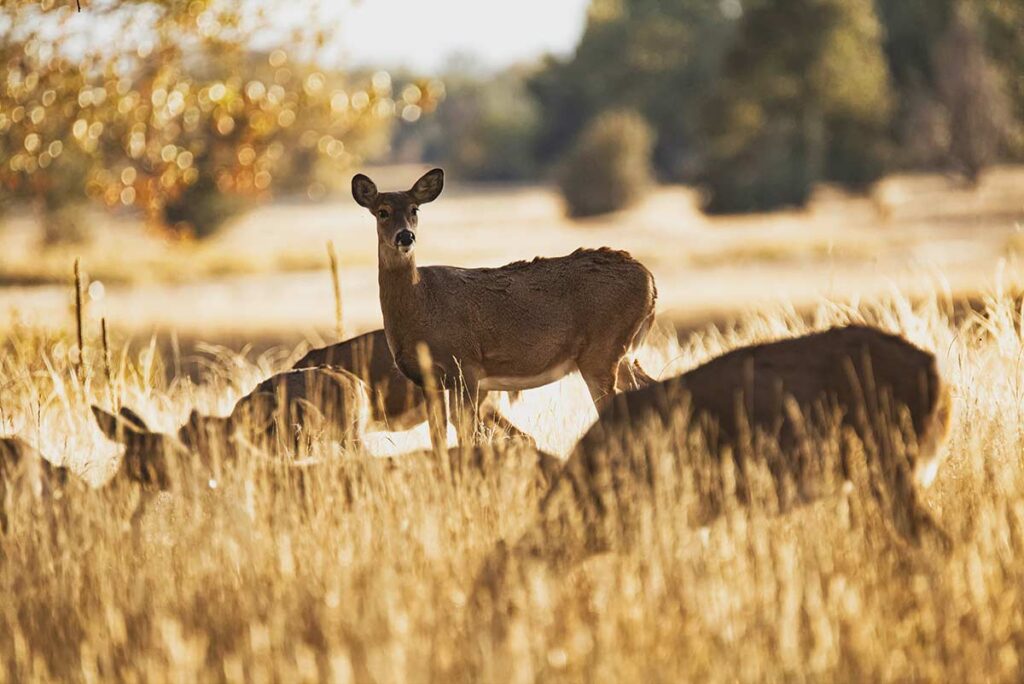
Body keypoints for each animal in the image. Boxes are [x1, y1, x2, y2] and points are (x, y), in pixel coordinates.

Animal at [350, 168, 655, 446]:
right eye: (382, 211)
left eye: (415, 209)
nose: (405, 237)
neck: (422, 303)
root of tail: (650, 280)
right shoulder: (428, 381)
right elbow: (438, 439)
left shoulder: (466, 365)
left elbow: (467, 434)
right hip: (623, 354)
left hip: (601, 350)